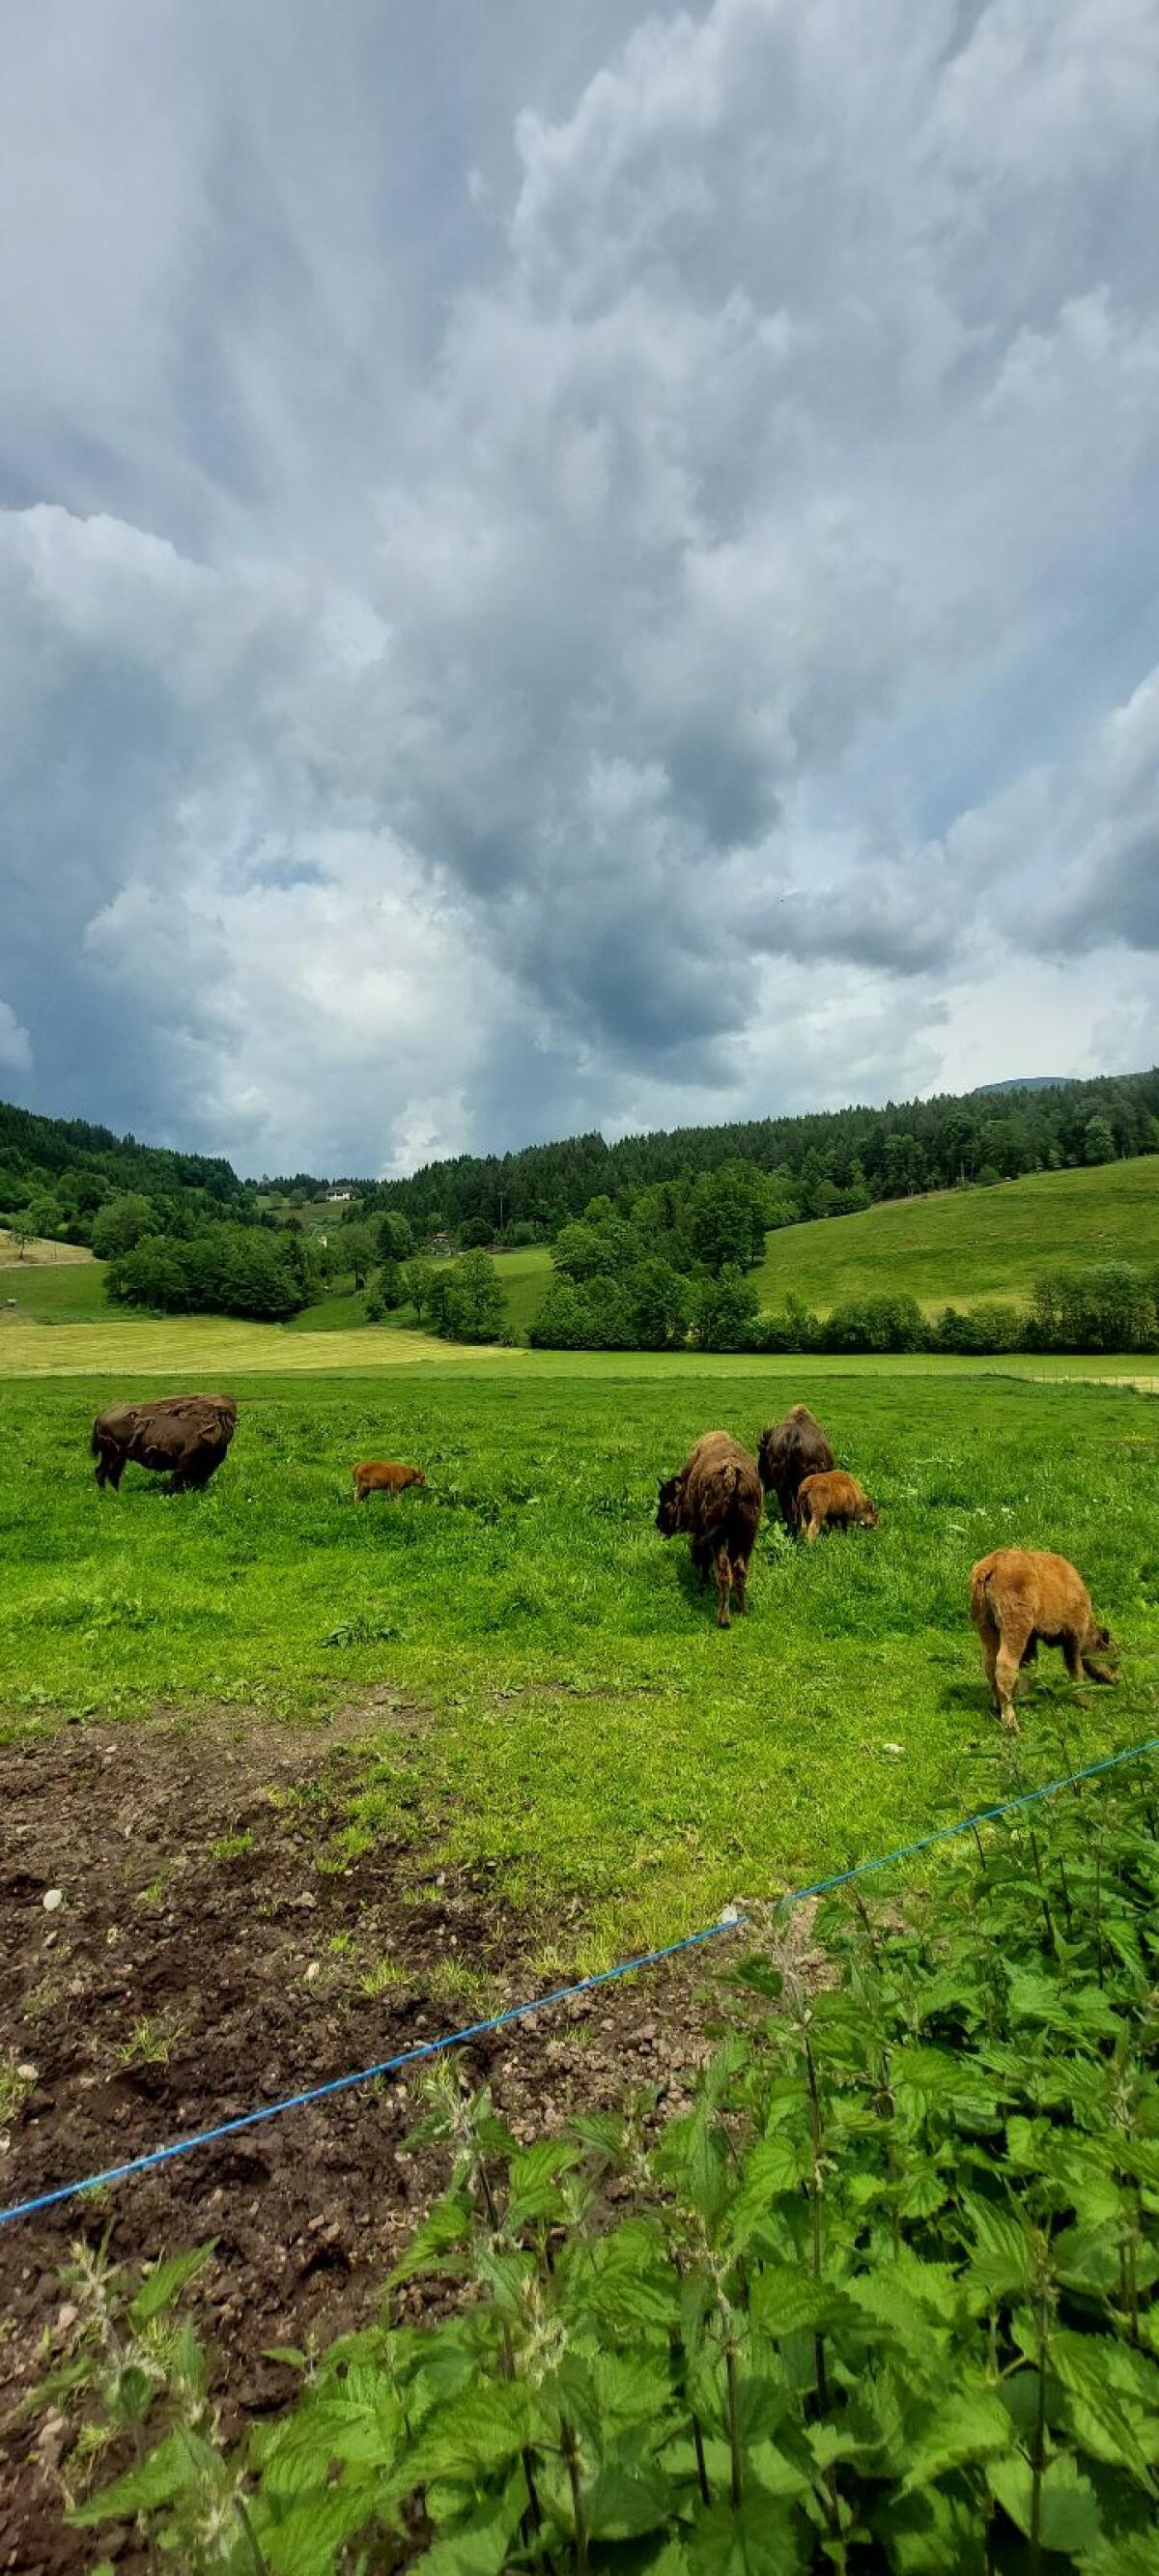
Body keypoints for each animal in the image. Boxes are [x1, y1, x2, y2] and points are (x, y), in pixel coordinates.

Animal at [91, 1393, 238, 1493]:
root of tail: (100, 1416)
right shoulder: (187, 1461)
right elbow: (179, 1477)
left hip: (118, 1456)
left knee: (109, 1473)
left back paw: (116, 1493)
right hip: (113, 1455)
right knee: (105, 1472)